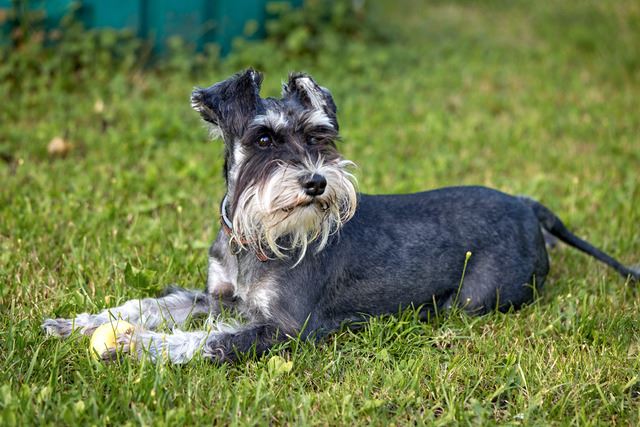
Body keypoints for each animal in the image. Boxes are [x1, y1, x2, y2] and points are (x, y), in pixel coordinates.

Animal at [42, 70, 636, 364]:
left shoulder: (287, 329)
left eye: (319, 137)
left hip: (474, 299)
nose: (316, 182)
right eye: (263, 139)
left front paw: (137, 345)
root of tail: (526, 204)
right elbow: (153, 305)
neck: (253, 241)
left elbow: (208, 340)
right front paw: (80, 323)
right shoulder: (220, 297)